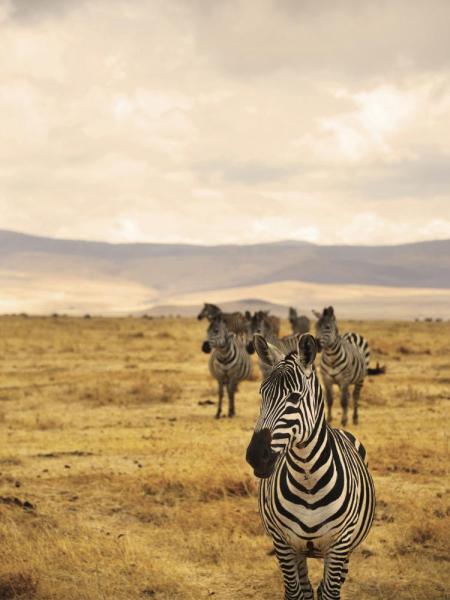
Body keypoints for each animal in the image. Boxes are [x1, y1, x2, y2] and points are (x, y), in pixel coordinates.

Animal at [244, 332, 374, 600]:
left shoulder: (339, 545)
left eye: (294, 397)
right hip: (300, 551)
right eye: (262, 393)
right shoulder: (284, 544)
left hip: (346, 549)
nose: (255, 456)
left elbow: (329, 592)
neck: (308, 481)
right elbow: (295, 593)